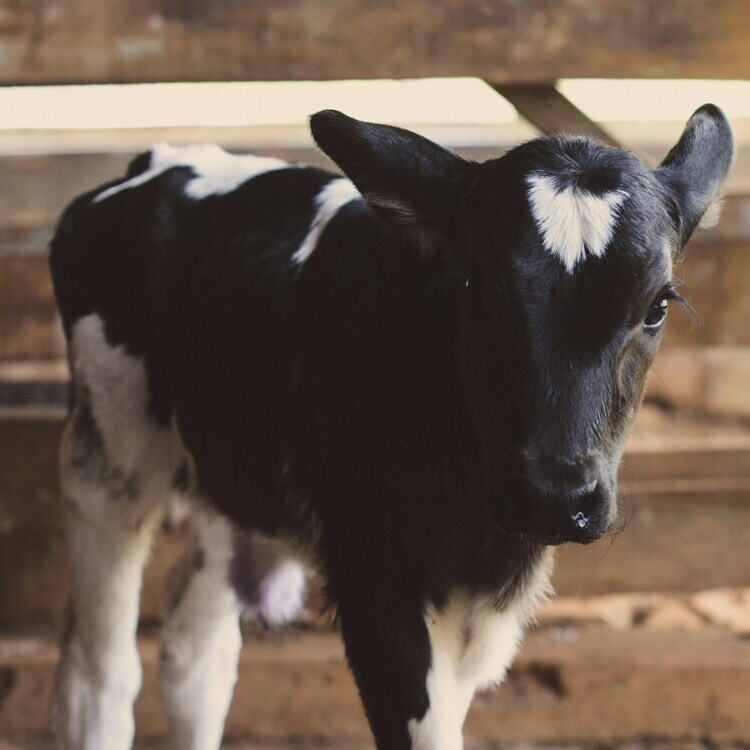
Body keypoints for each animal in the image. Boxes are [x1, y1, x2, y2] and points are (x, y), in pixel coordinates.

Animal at [48, 106, 736, 750]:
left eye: (657, 306)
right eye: (475, 290)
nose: (553, 496)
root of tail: (161, 159)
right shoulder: (378, 585)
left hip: (232, 478)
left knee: (197, 658)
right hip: (105, 462)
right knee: (100, 676)